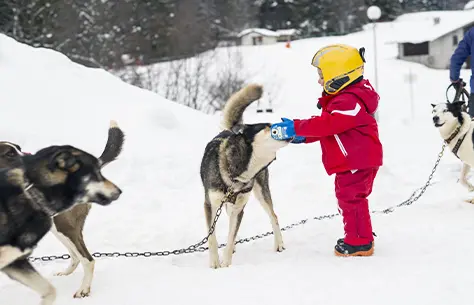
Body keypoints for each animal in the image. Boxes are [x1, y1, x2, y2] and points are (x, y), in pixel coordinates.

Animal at [0, 120, 124, 298]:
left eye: (18, 149)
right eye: (10, 153)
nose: (33, 156)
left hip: (64, 226)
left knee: (87, 259)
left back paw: (83, 289)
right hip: (57, 228)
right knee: (76, 256)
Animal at [199, 83, 288, 268]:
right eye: (267, 126)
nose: (286, 124)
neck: (236, 174)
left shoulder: (239, 208)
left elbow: (231, 236)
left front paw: (226, 264)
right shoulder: (209, 204)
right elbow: (212, 237)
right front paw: (215, 263)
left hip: (261, 191)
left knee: (273, 215)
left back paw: (279, 244)